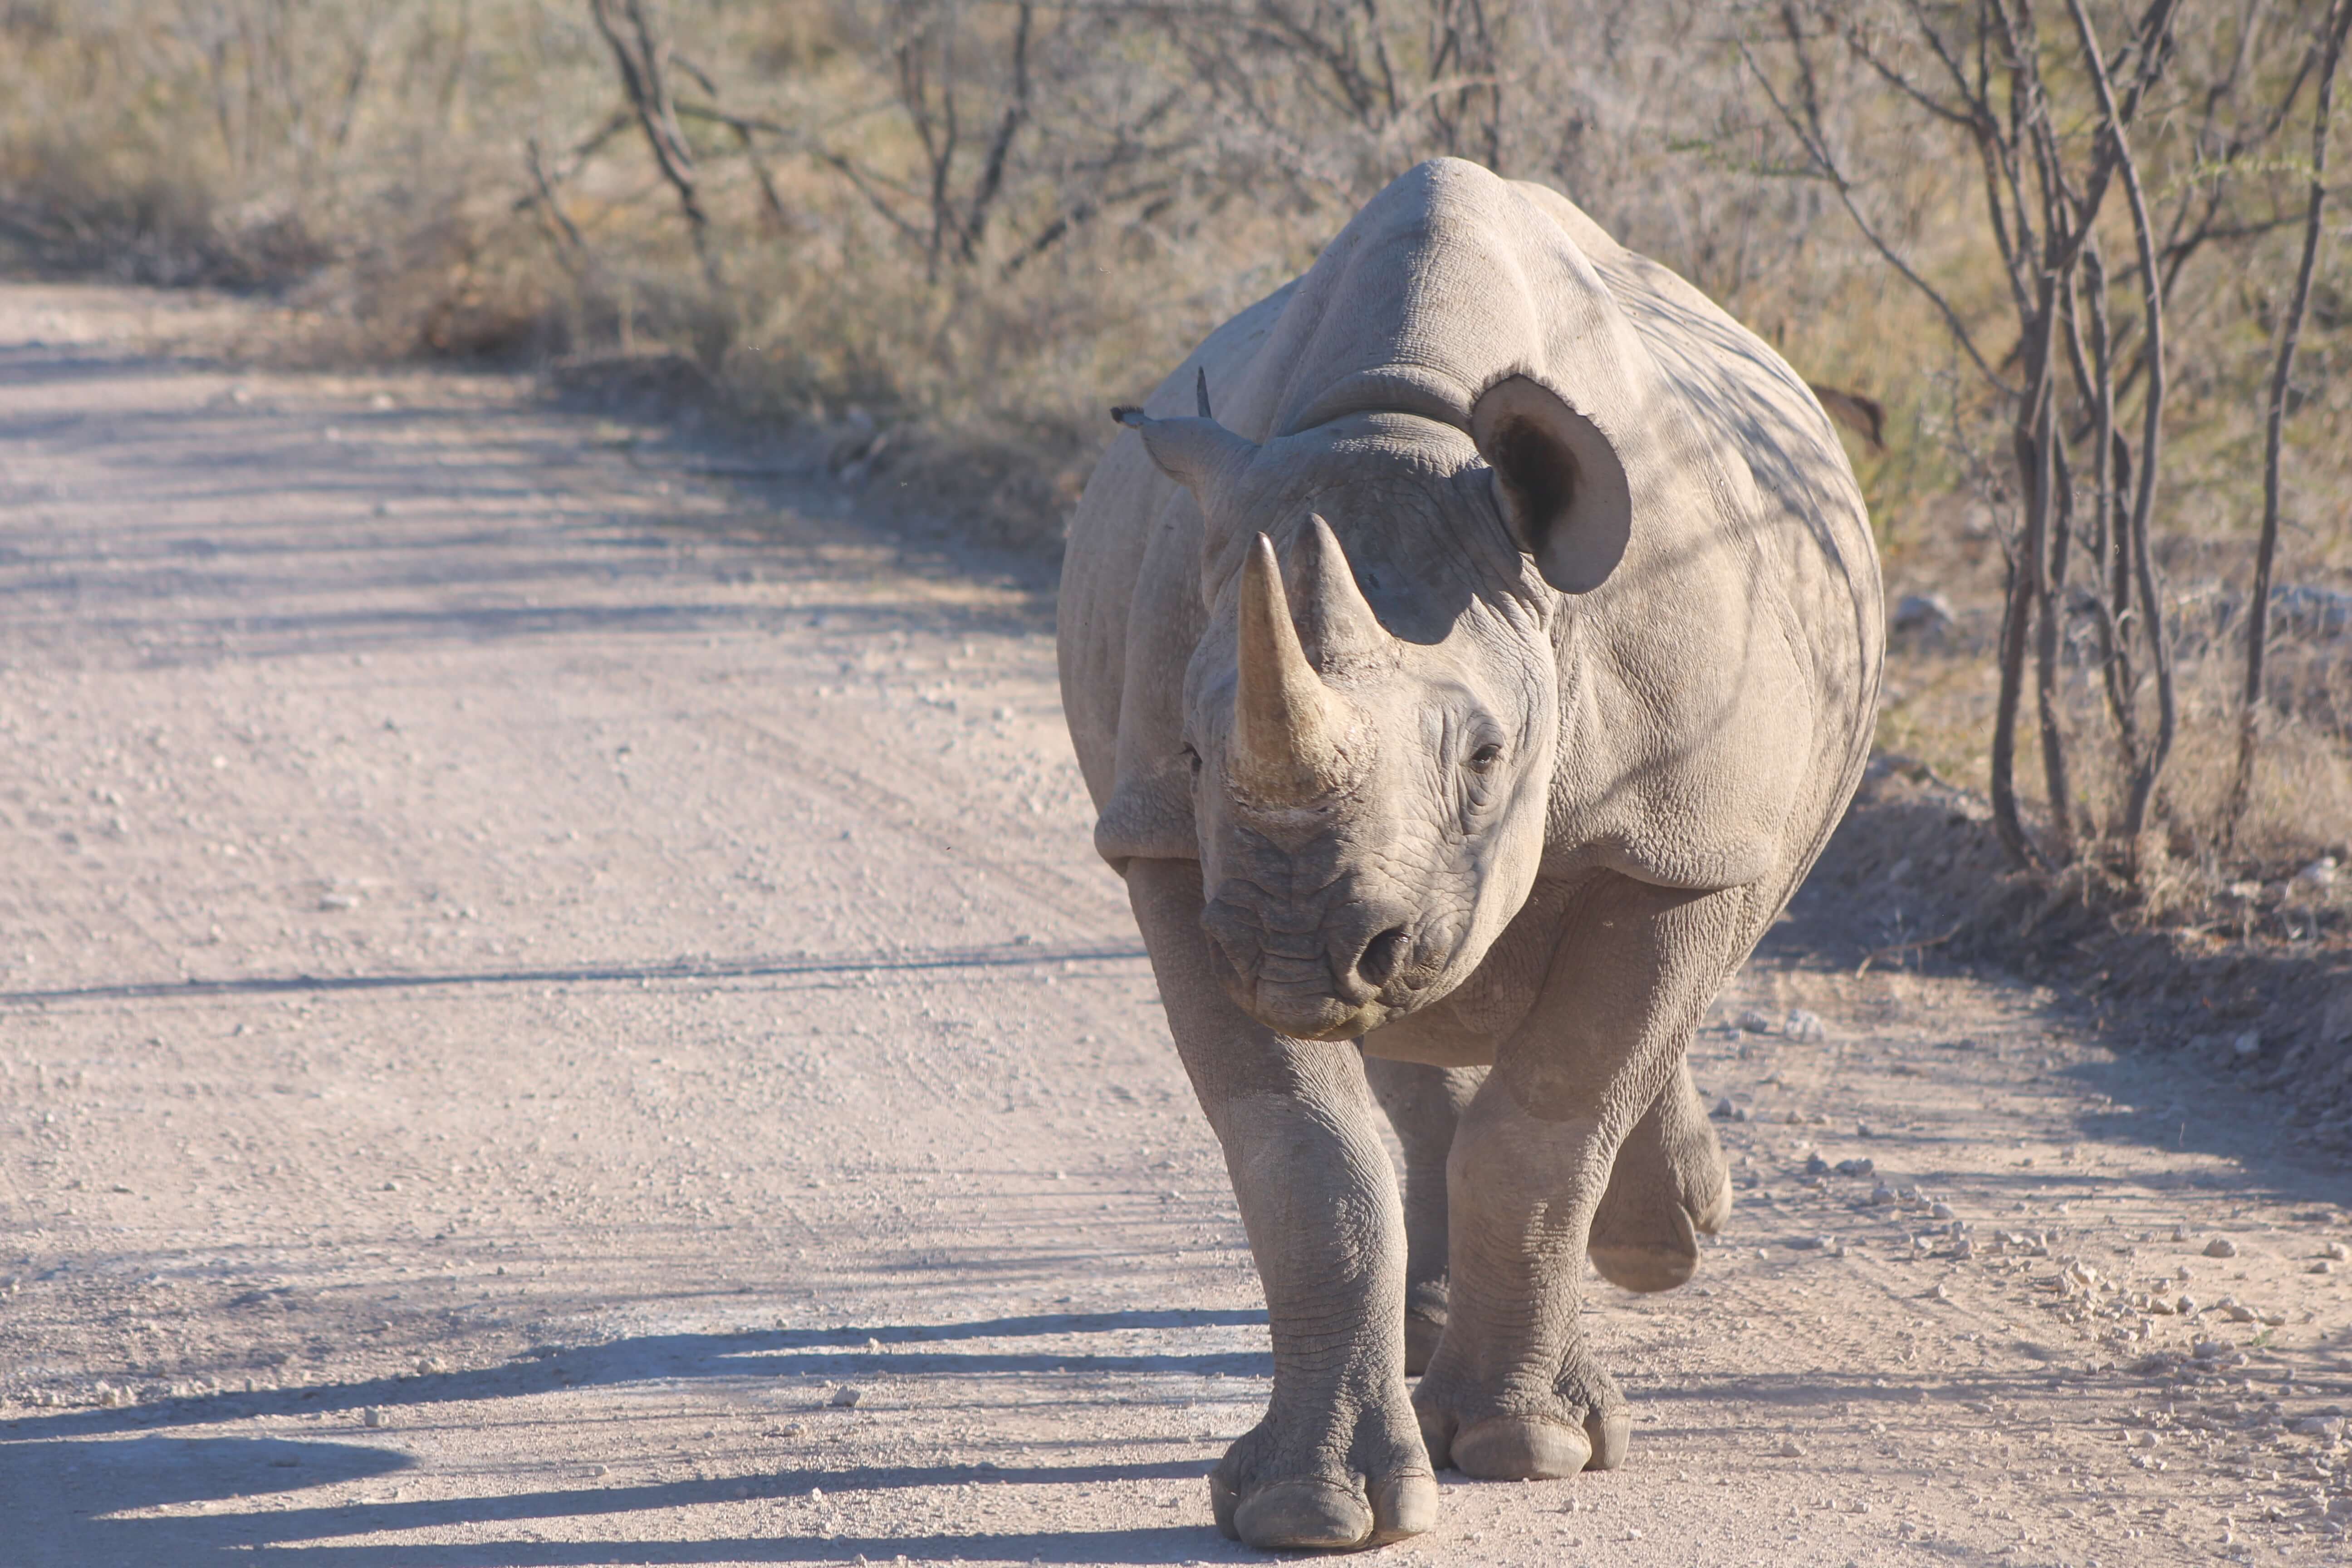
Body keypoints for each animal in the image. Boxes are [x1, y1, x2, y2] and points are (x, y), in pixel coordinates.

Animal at [1057, 158, 1881, 1552]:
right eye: (1195, 754)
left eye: (1489, 757)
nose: (1299, 942)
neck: (1407, 427)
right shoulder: (1167, 848)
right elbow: (1303, 1157)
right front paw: (1307, 1509)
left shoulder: (1684, 838)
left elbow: (1552, 1117)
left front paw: (1526, 1447)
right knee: (1429, 1022)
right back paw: (1448, 1324)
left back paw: (1661, 1248)